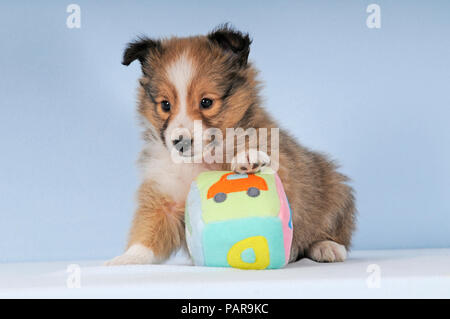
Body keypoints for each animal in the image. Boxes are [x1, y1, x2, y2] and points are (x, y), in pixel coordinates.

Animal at [105, 25, 356, 266]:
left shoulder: (284, 167)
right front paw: (127, 259)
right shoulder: (162, 198)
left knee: (330, 232)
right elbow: (147, 234)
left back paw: (327, 247)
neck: (200, 160)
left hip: (336, 192)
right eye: (165, 105)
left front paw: (247, 157)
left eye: (206, 102)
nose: (180, 142)